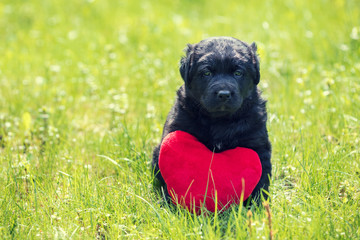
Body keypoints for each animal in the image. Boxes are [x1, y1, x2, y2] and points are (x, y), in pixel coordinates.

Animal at [150, 37, 272, 204]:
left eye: (238, 73)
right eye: (206, 73)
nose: (224, 94)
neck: (219, 120)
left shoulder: (256, 143)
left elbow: (262, 178)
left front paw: (258, 203)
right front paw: (170, 202)